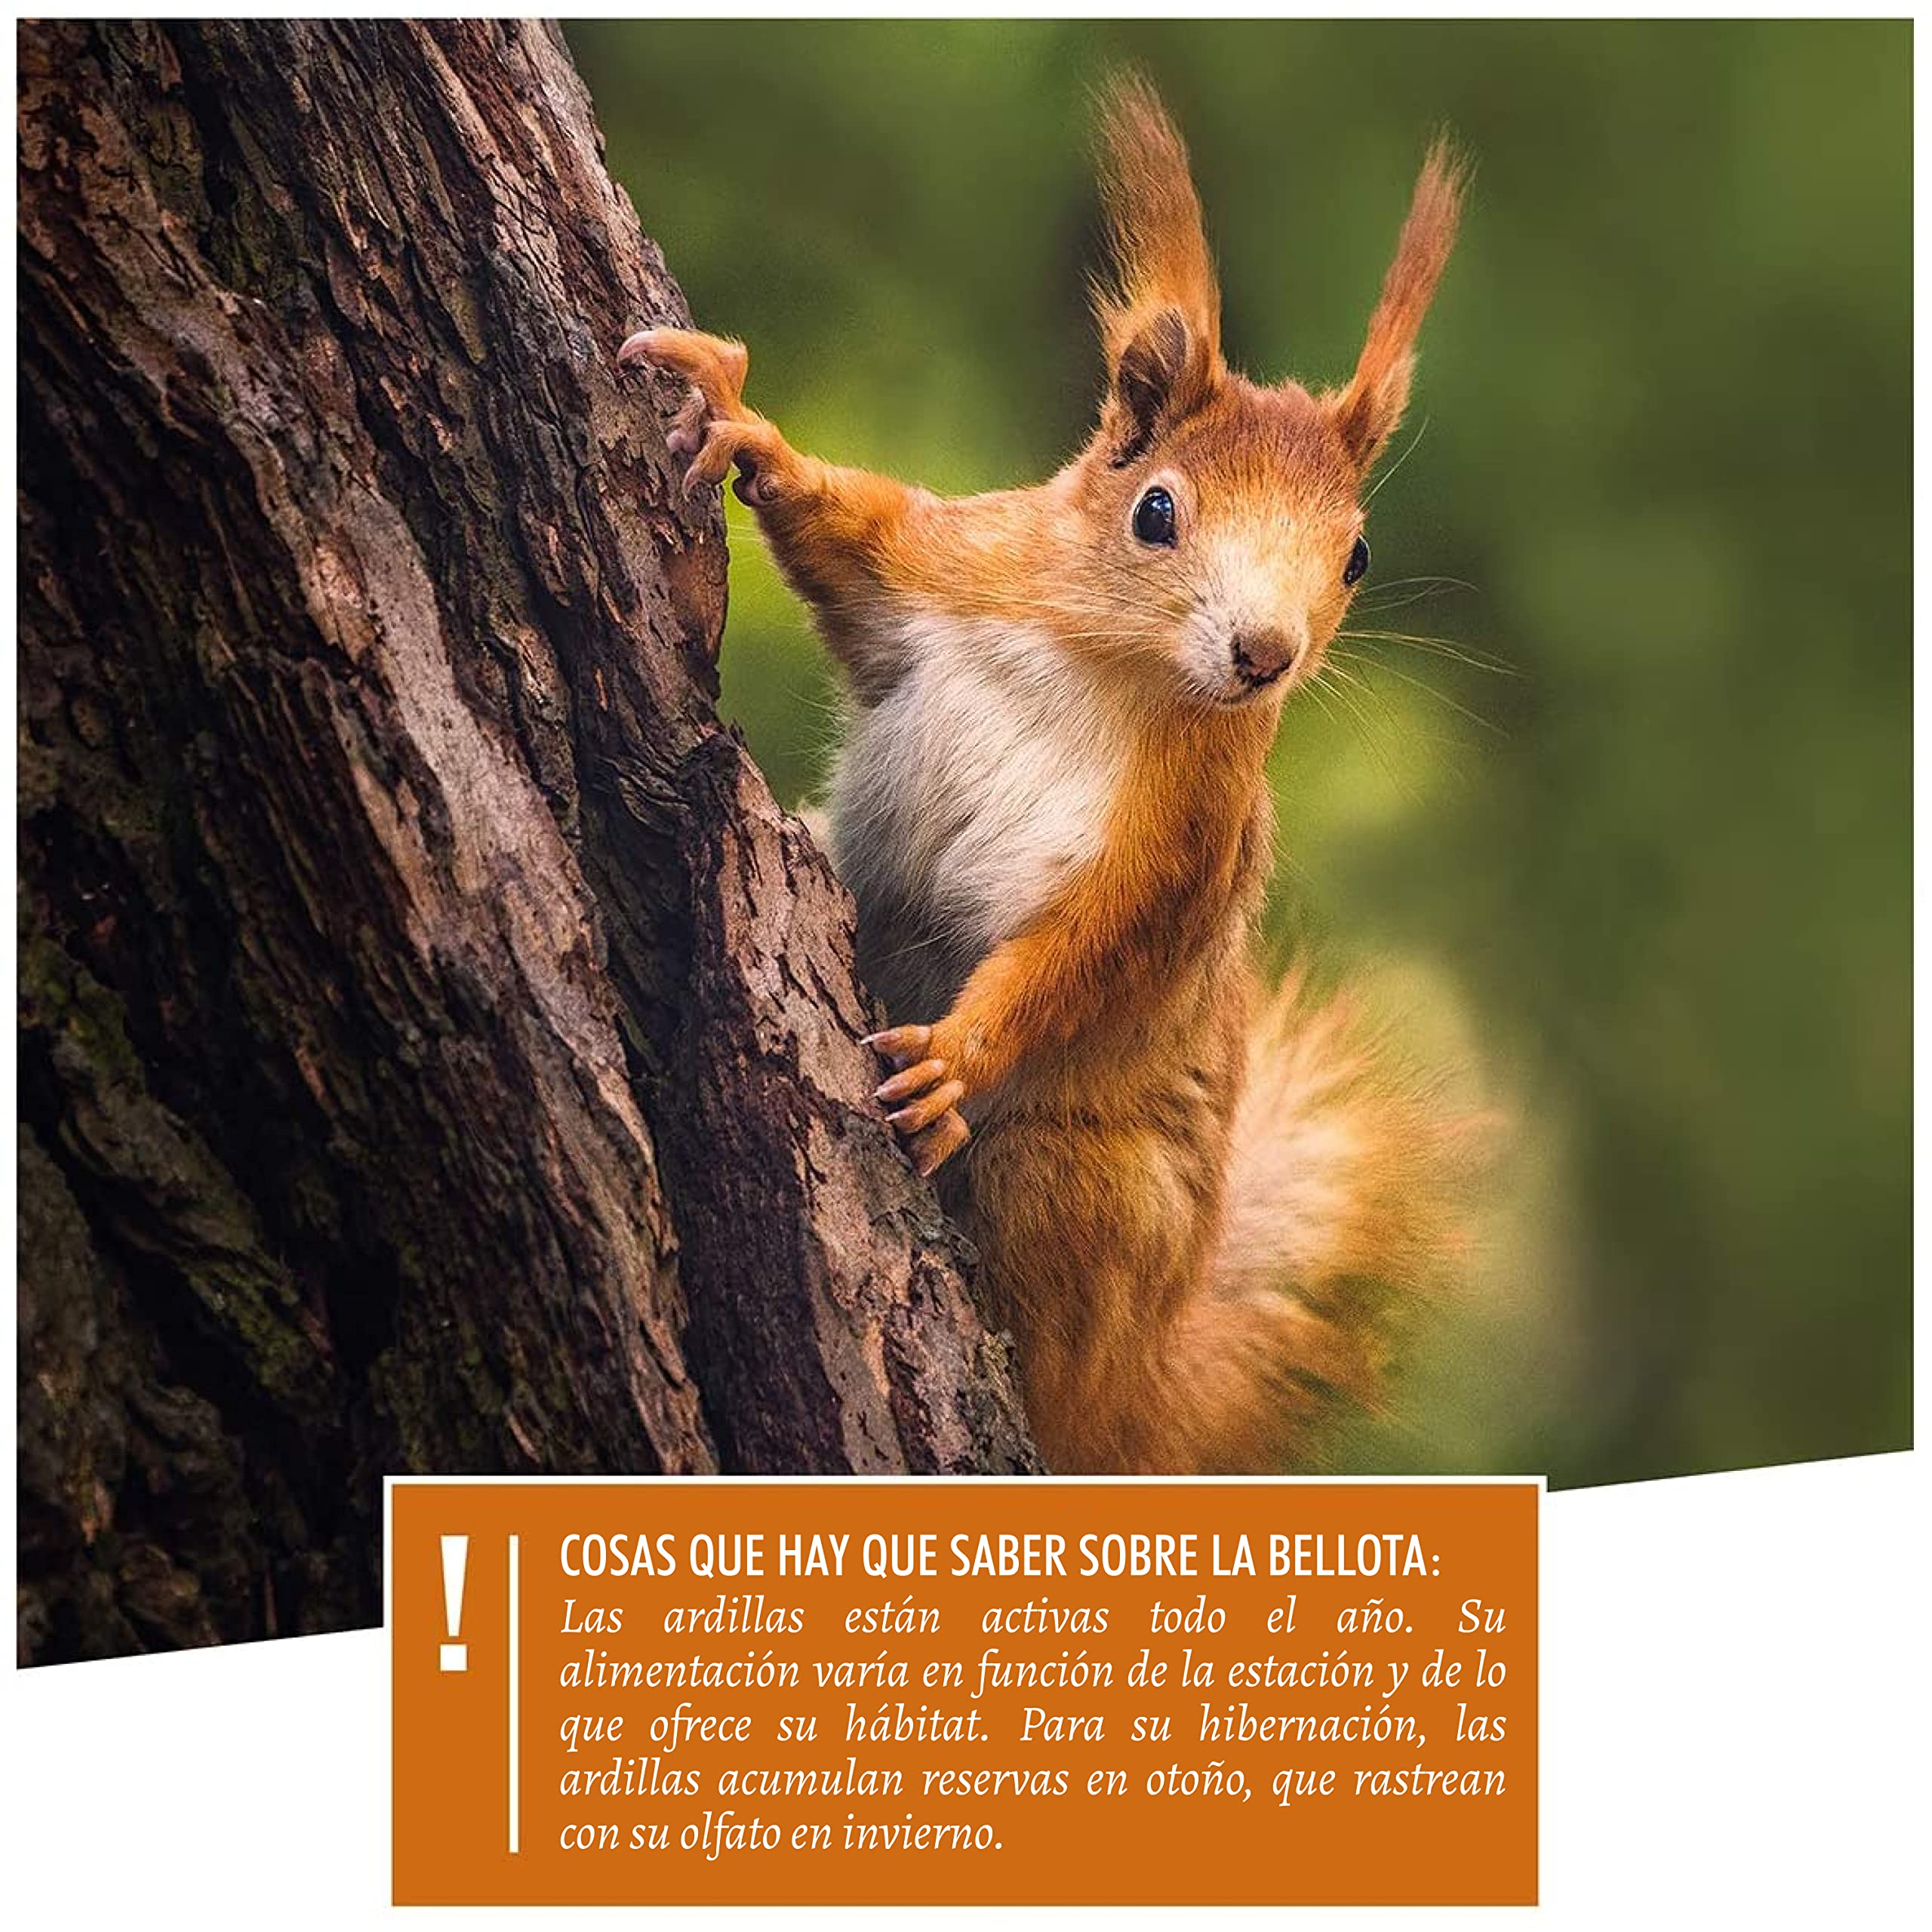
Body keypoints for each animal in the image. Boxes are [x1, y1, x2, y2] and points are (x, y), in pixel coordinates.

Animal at [620, 77, 1475, 1475]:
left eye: (1354, 558)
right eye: (1156, 511)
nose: (1264, 656)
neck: (1109, 665)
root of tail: (1142, 1382)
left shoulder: (1180, 847)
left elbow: (1084, 952)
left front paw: (956, 1059)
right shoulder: (947, 567)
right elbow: (847, 535)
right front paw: (751, 431)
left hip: (1081, 1193)